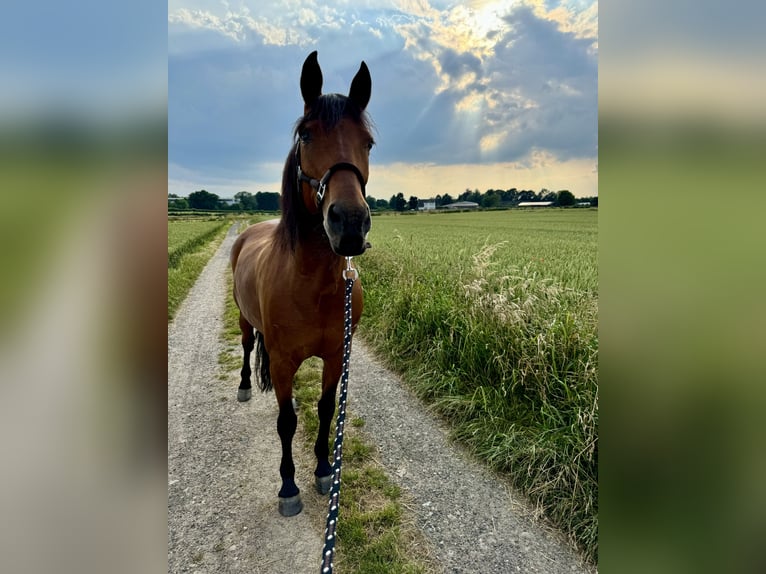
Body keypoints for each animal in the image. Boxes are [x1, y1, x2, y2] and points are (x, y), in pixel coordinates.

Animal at [230, 51, 373, 517]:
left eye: (368, 142)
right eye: (307, 135)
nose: (349, 223)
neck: (311, 285)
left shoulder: (335, 356)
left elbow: (327, 409)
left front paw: (324, 469)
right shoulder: (282, 360)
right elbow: (286, 421)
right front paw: (288, 485)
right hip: (244, 321)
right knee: (246, 347)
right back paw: (243, 386)